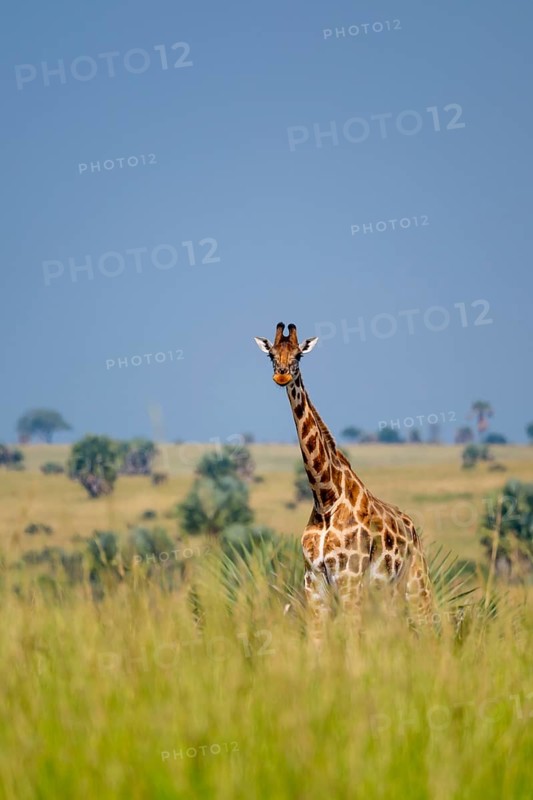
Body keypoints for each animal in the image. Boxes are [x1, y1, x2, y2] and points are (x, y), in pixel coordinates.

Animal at [254, 322, 433, 633]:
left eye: (299, 355)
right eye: (271, 355)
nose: (282, 374)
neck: (326, 497)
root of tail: (412, 528)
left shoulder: (350, 577)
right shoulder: (313, 581)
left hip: (415, 581)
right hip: (386, 591)